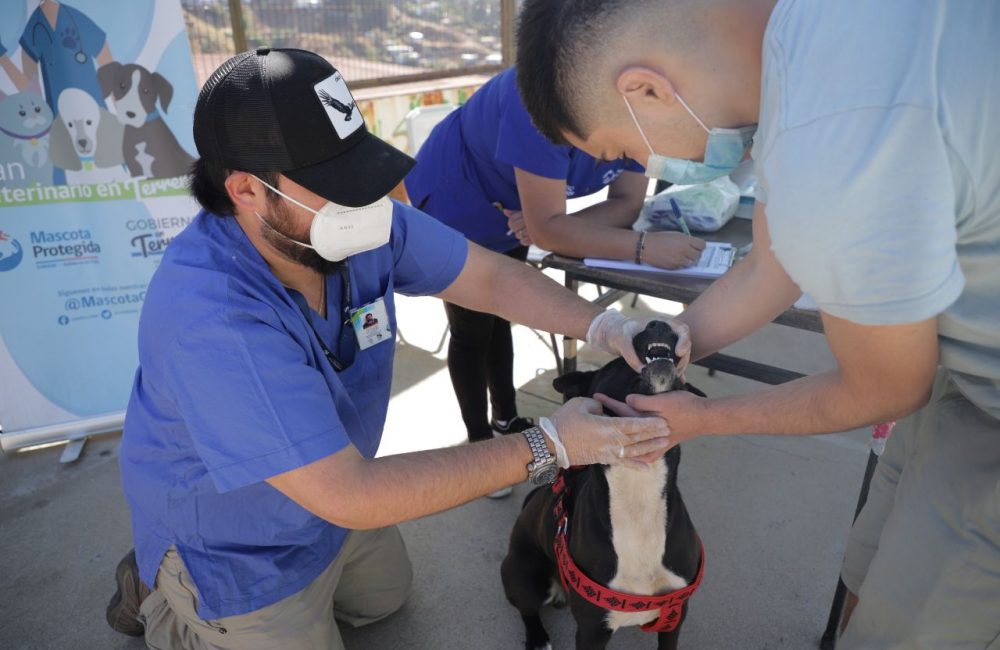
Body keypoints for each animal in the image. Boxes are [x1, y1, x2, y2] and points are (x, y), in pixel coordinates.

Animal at [500, 320, 704, 648]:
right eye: (618, 362)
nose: (658, 321)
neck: (639, 487)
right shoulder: (591, 630)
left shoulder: (675, 616)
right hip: (523, 576)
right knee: (527, 609)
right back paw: (538, 638)